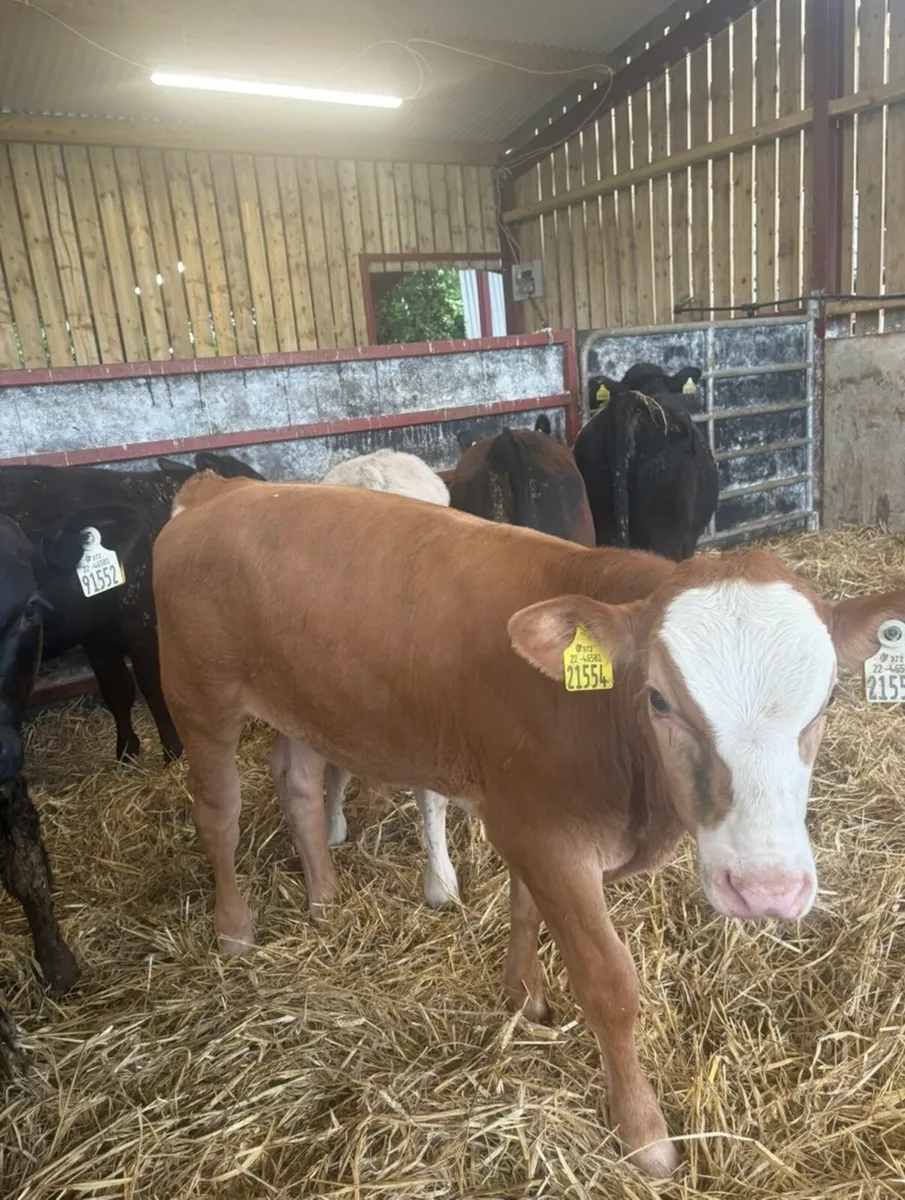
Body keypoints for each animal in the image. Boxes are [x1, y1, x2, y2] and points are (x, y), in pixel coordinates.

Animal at [0, 452, 262, 765]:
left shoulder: (100, 636)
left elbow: (119, 690)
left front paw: (129, 750)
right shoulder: (143, 628)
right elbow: (148, 688)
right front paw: (170, 749)